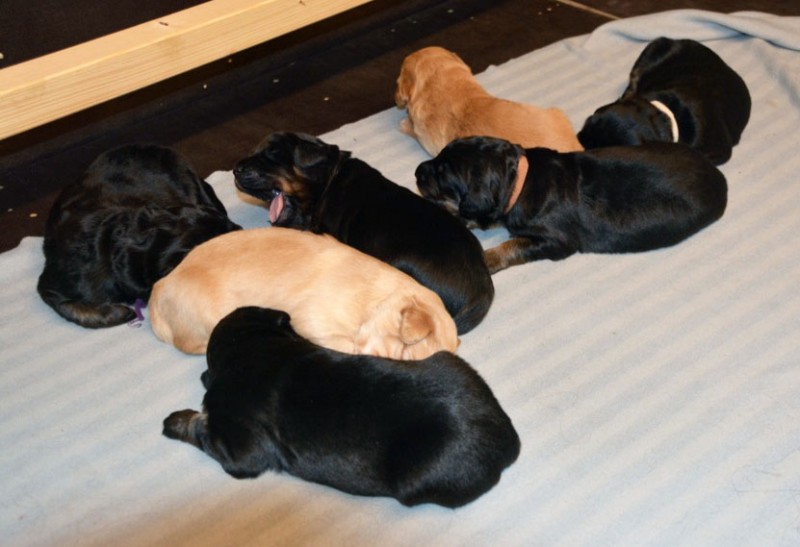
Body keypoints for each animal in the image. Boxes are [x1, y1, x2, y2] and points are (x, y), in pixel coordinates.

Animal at [163, 306, 520, 508]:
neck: (252, 345)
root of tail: (507, 438)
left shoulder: (240, 450)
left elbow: (202, 428)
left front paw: (175, 420)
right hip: (449, 362)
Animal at [415, 136, 727, 274]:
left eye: (443, 173)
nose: (417, 171)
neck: (521, 179)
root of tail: (717, 175)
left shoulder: (557, 241)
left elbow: (511, 244)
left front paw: (486, 258)